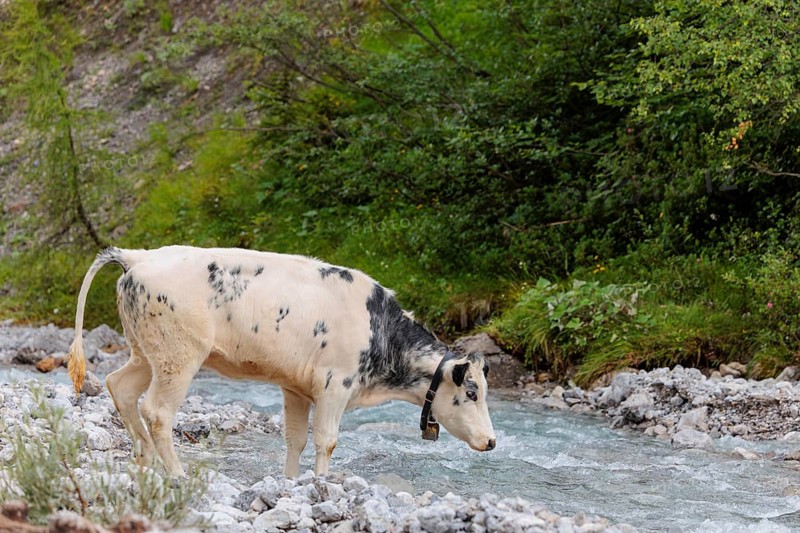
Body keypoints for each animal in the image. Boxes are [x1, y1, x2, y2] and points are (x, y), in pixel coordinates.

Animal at [67, 246, 496, 478]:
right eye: (472, 392)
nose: (492, 441)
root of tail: (138, 256)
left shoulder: (296, 388)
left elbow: (296, 440)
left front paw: (292, 483)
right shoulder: (335, 385)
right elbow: (326, 441)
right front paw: (323, 484)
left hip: (147, 353)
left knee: (120, 386)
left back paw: (145, 461)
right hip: (179, 357)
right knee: (157, 411)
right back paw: (175, 472)